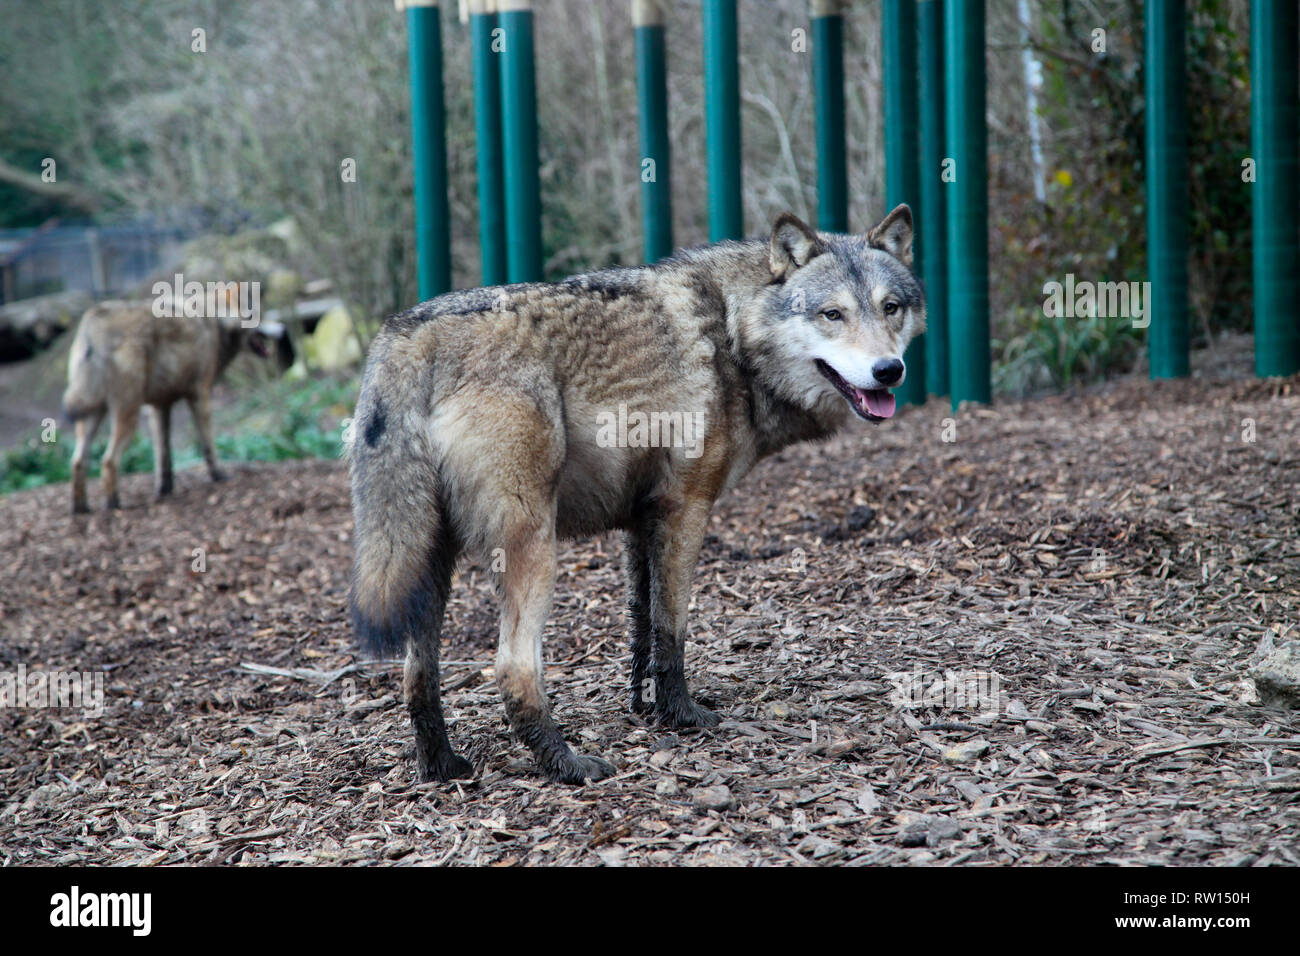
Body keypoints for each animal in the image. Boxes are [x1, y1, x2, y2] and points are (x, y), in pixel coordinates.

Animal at [61, 303, 279, 515]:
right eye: (257, 315)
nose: (280, 329)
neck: (214, 321)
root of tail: (91, 325)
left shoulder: (159, 407)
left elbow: (164, 457)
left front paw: (165, 489)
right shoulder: (200, 396)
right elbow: (208, 446)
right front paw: (220, 476)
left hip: (91, 418)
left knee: (78, 462)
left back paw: (81, 509)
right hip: (128, 416)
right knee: (108, 461)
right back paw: (113, 505)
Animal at [348, 204, 925, 785]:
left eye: (891, 308)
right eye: (833, 314)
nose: (889, 370)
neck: (735, 338)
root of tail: (407, 337)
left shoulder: (641, 519)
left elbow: (641, 622)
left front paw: (644, 706)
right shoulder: (685, 509)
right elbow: (671, 628)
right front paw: (683, 715)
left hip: (429, 562)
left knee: (416, 673)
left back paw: (441, 765)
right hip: (533, 551)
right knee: (511, 668)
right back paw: (566, 763)